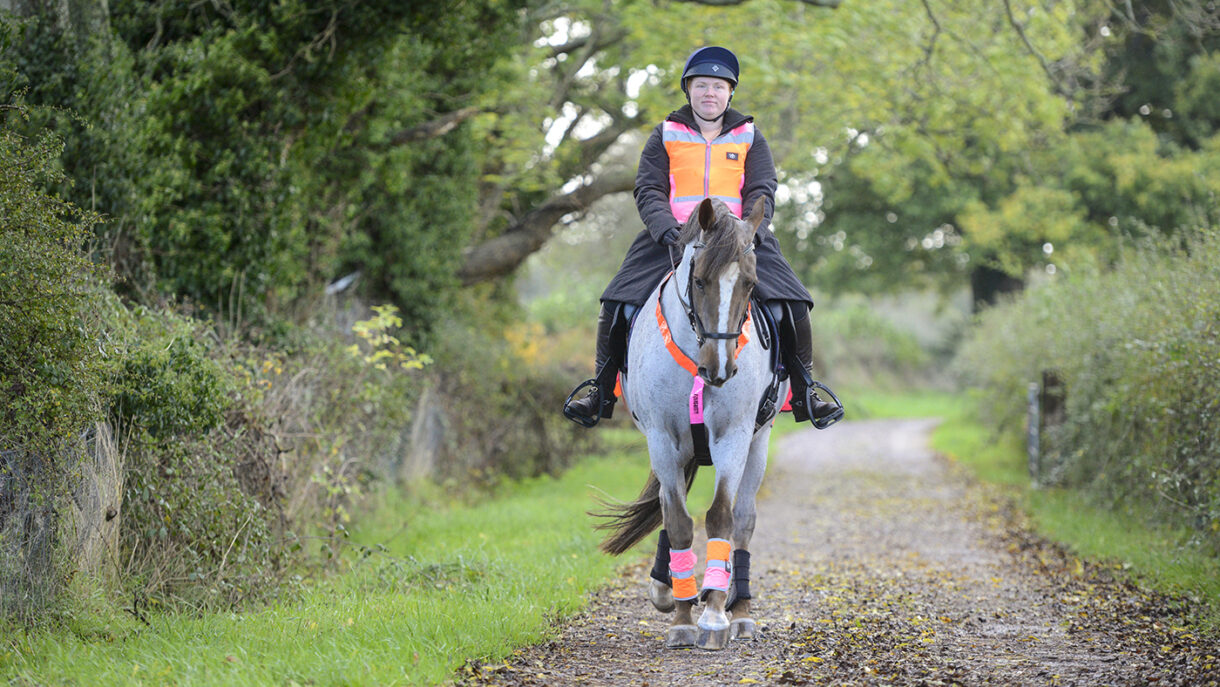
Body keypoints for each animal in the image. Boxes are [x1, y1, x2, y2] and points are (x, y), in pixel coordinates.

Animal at [596, 196, 785, 651]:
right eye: (698, 281)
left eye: (750, 284)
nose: (719, 369)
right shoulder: (663, 440)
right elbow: (679, 522)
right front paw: (682, 617)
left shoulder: (732, 436)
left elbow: (720, 517)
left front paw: (714, 616)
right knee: (670, 508)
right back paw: (667, 589)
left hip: (759, 442)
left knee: (744, 520)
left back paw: (740, 612)